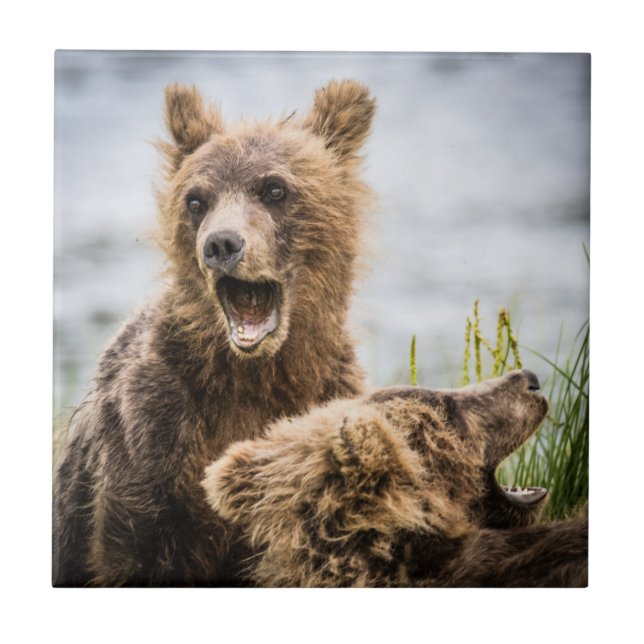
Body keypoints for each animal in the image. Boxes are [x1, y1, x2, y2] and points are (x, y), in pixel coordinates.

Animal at [53, 80, 376, 586]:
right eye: (196, 200)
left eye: (274, 189)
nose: (221, 243)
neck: (252, 376)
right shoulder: (153, 436)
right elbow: (134, 549)